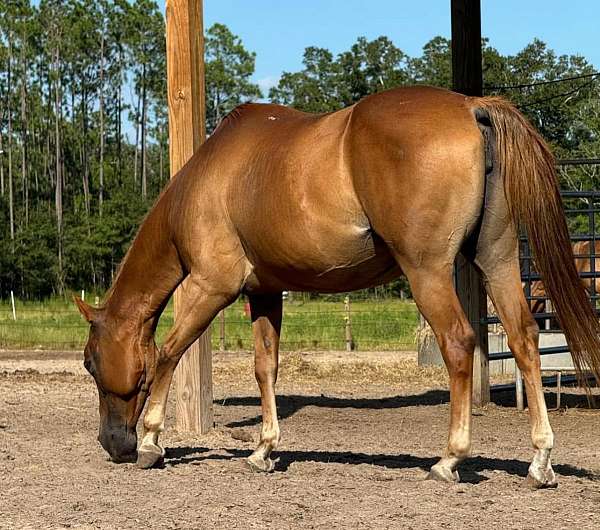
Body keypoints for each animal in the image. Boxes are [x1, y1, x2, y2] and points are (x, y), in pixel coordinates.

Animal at [74, 85, 600, 486]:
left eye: (89, 363)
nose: (112, 444)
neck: (208, 178)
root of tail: (471, 106)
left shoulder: (210, 288)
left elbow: (167, 354)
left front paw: (150, 440)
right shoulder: (264, 293)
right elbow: (266, 367)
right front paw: (264, 449)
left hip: (428, 271)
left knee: (458, 343)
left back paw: (450, 458)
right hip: (498, 261)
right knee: (525, 341)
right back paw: (540, 460)